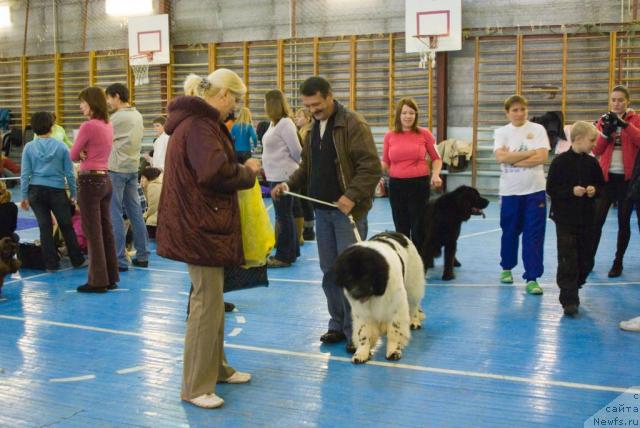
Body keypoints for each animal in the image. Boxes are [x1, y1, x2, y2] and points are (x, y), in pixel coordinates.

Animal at [336, 232, 424, 362]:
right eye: (349, 278)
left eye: (366, 276)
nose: (356, 293)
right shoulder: (362, 312)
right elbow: (363, 332)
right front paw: (362, 353)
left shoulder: (396, 306)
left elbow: (395, 329)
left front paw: (393, 351)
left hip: (413, 286)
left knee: (413, 306)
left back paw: (414, 321)